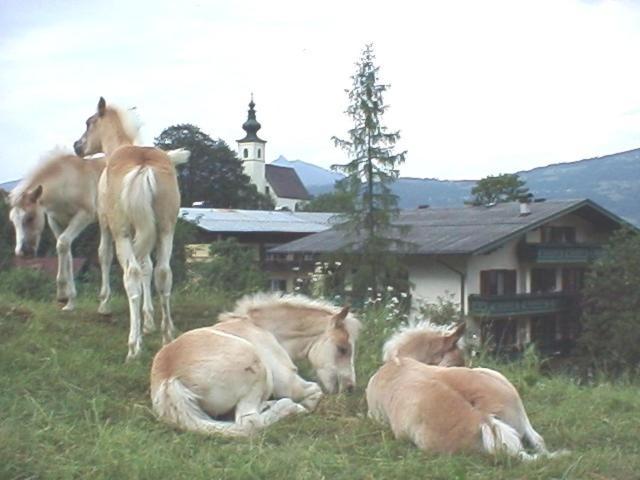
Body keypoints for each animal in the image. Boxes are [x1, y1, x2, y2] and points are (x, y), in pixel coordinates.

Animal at [8, 150, 105, 312]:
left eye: (30, 217)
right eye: (12, 220)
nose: (22, 252)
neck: (65, 183)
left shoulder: (84, 215)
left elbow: (62, 244)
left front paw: (62, 295)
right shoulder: (55, 221)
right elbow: (67, 253)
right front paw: (69, 302)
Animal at [73, 97, 188, 360]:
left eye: (89, 123)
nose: (77, 146)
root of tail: (143, 167)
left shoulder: (106, 225)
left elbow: (104, 256)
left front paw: (104, 305)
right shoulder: (145, 230)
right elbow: (148, 267)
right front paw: (149, 321)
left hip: (122, 233)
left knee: (132, 275)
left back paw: (134, 347)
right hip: (166, 230)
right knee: (163, 273)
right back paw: (167, 336)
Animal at [151, 294, 360, 436]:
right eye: (343, 349)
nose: (351, 388)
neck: (263, 328)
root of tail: (169, 379)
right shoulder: (289, 383)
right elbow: (315, 391)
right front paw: (304, 407)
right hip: (258, 369)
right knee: (249, 422)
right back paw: (287, 408)